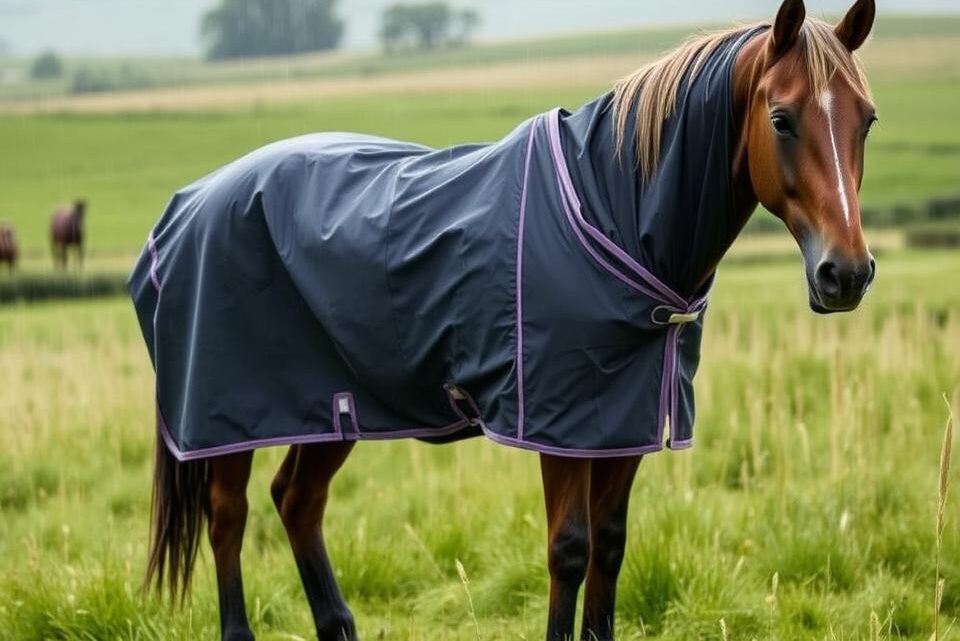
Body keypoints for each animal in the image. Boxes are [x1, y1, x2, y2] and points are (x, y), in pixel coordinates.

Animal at [133, 1, 878, 639]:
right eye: (781, 119)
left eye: (867, 119)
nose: (845, 274)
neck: (611, 209)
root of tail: (189, 204)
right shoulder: (558, 425)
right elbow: (570, 551)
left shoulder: (624, 424)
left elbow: (610, 548)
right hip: (227, 413)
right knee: (228, 514)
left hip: (334, 404)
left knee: (297, 500)